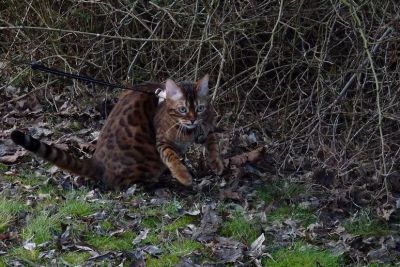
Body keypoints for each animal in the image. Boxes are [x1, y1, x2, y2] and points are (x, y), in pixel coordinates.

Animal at [10, 75, 222, 191]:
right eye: (183, 109)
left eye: (200, 108)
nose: (193, 119)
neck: (188, 132)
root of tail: (96, 161)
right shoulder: (161, 139)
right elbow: (171, 156)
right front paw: (183, 176)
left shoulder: (207, 127)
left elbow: (212, 142)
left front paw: (217, 164)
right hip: (145, 160)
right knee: (121, 183)